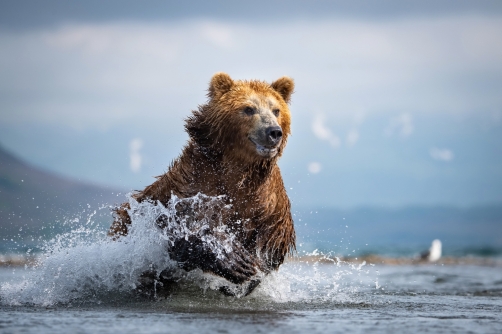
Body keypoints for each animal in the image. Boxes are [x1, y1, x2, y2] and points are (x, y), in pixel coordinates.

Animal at [110, 72, 296, 294]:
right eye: (248, 108)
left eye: (276, 110)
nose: (273, 132)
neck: (239, 170)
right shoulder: (194, 186)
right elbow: (181, 231)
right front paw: (233, 260)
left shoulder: (268, 203)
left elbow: (271, 247)